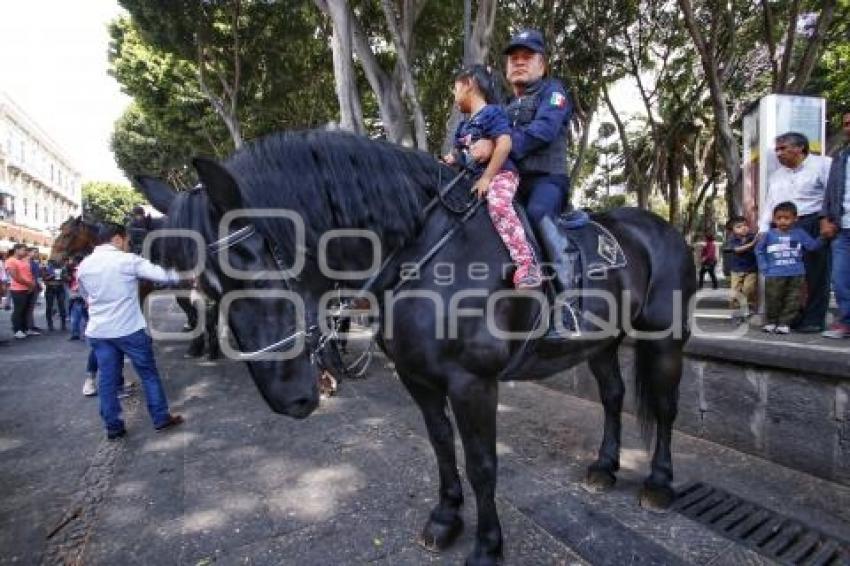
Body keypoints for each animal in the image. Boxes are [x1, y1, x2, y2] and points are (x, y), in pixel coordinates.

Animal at [136, 130, 692, 566]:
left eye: (252, 258)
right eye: (206, 284)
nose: (289, 398)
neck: (425, 250)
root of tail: (659, 226)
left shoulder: (473, 383)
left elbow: (482, 462)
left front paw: (488, 546)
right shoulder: (418, 378)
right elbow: (442, 445)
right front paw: (446, 518)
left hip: (665, 339)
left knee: (664, 408)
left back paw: (659, 484)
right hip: (600, 343)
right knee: (614, 396)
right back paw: (605, 467)